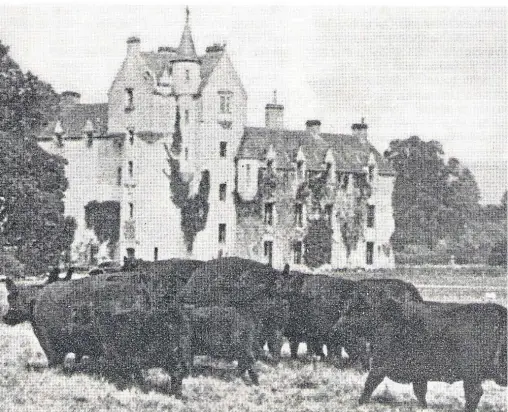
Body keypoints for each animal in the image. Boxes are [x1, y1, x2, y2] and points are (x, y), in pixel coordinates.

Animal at [336, 294, 506, 410]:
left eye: (352, 311)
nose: (336, 327)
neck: (385, 318)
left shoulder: (380, 365)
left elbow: (369, 384)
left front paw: (359, 403)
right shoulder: (419, 374)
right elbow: (420, 392)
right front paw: (425, 407)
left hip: (471, 374)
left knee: (474, 394)